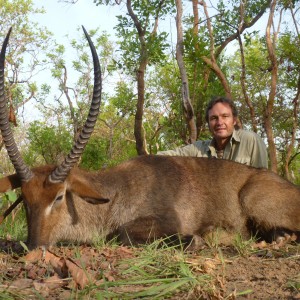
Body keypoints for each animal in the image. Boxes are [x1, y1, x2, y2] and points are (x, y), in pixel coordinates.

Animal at [0, 28, 300, 250]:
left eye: (59, 196)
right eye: (25, 199)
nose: (35, 247)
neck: (117, 192)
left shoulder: (166, 220)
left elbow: (122, 234)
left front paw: (196, 239)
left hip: (252, 197)